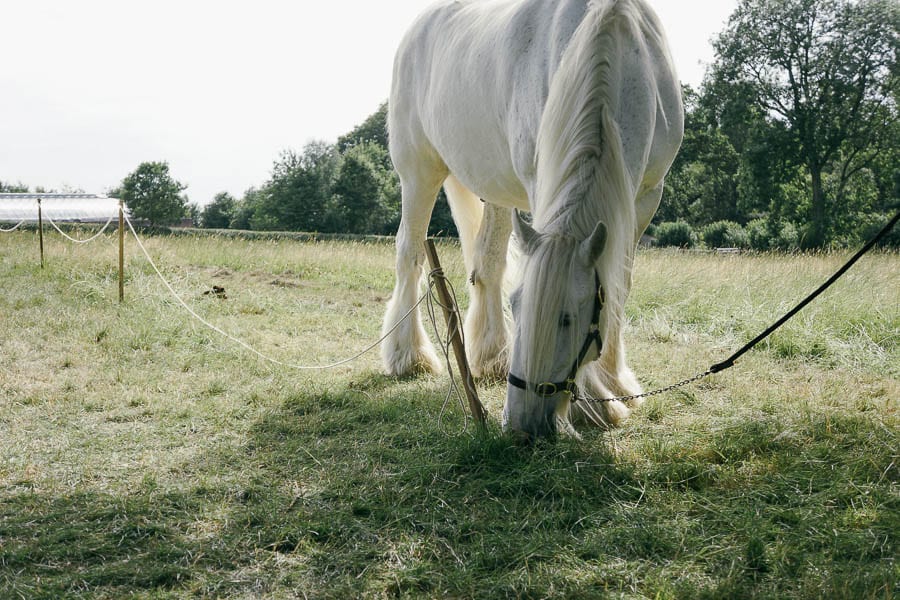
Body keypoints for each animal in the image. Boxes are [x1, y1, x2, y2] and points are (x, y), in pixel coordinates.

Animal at [380, 0, 684, 438]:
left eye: (568, 319)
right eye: (519, 306)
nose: (524, 425)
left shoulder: (645, 196)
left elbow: (619, 285)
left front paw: (615, 384)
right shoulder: (543, 182)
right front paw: (594, 403)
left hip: (494, 191)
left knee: (487, 265)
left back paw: (491, 356)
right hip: (418, 172)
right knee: (410, 255)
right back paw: (408, 356)